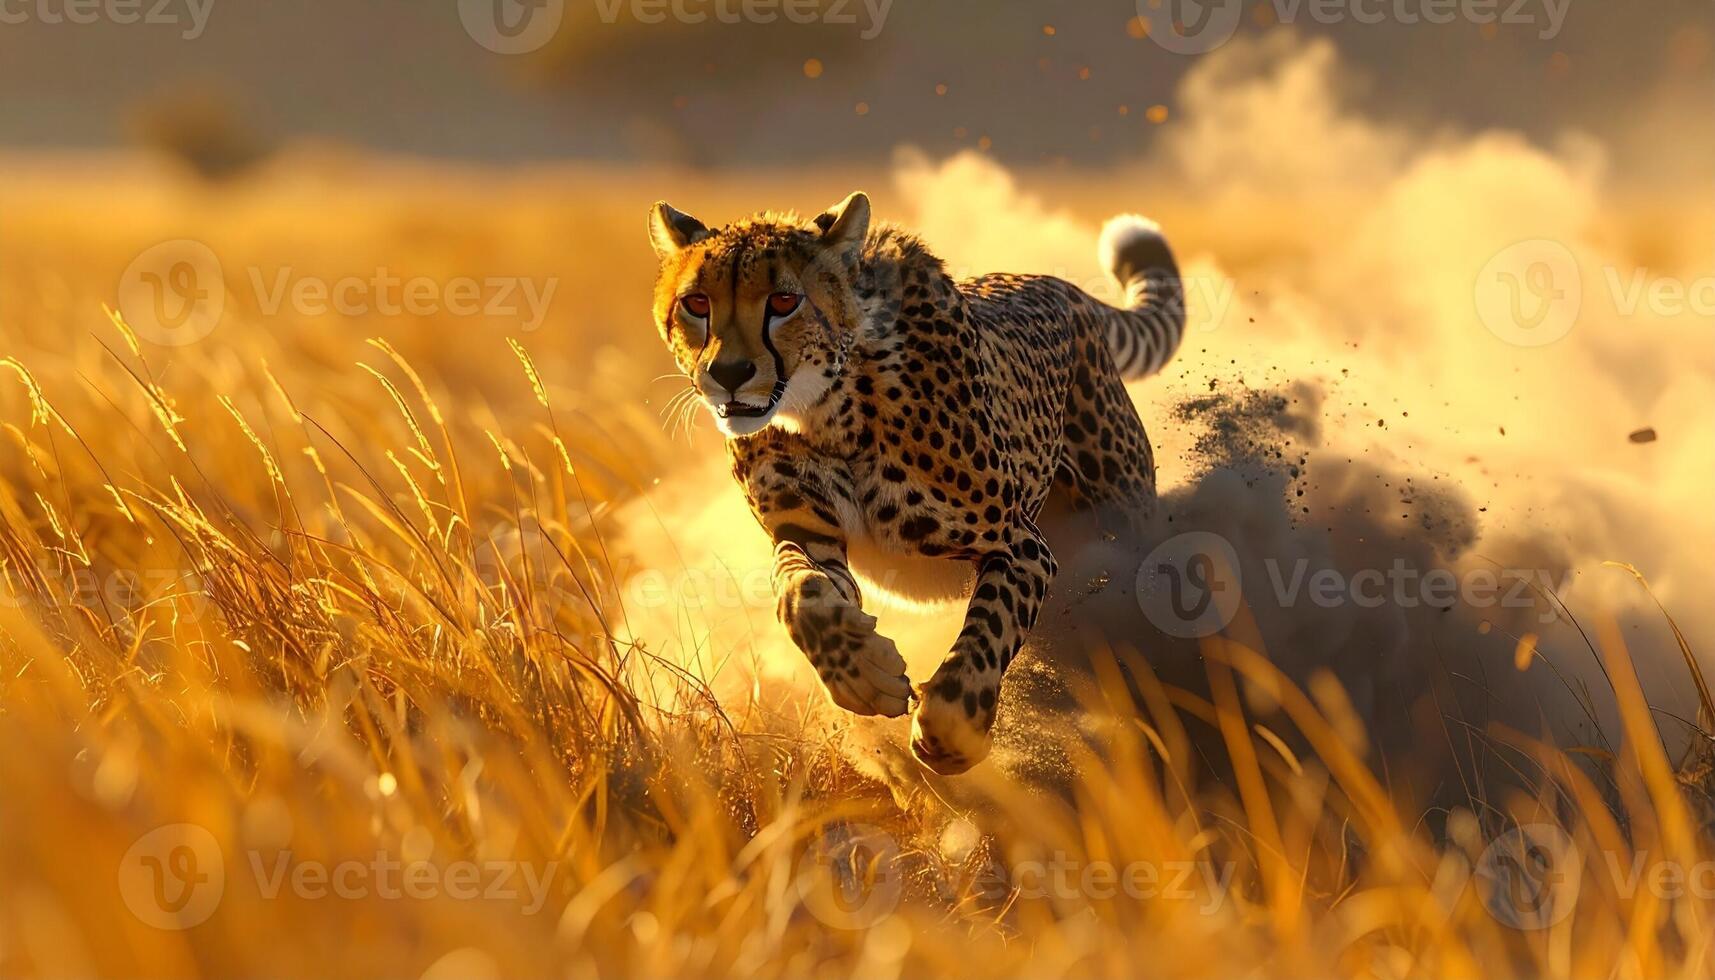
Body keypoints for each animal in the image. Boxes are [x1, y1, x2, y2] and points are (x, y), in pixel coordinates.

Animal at [647, 191, 1185, 774]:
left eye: (784, 301)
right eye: (697, 303)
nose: (728, 374)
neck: (829, 410)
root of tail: (1051, 282)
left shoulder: (1020, 545)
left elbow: (988, 632)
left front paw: (953, 729)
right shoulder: (808, 534)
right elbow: (800, 597)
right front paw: (865, 676)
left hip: (1123, 514)